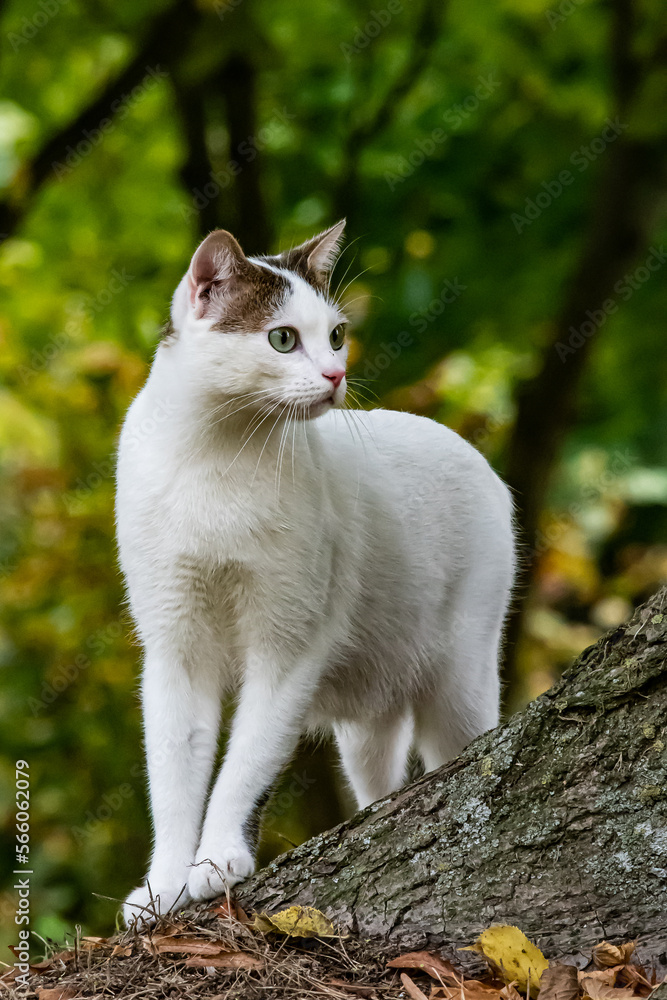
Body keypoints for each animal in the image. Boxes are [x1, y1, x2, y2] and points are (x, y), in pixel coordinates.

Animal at [116, 223, 516, 924]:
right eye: (282, 338)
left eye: (335, 334)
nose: (337, 374)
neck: (218, 457)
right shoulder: (175, 648)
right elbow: (173, 774)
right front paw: (163, 887)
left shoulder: (287, 646)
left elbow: (246, 762)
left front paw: (216, 861)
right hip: (367, 723)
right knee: (380, 779)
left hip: (460, 683)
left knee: (460, 749)